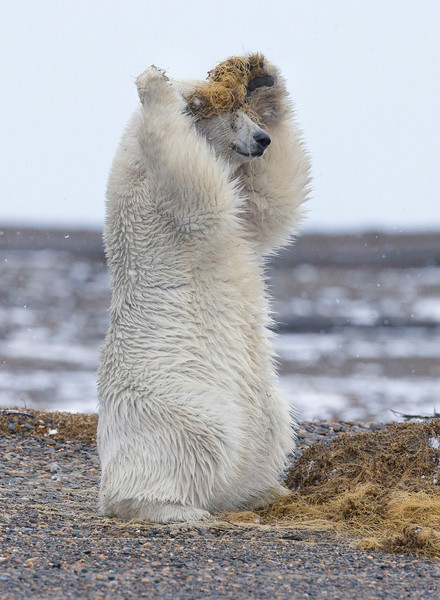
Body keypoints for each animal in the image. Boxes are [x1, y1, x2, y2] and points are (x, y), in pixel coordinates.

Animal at [97, 54, 310, 524]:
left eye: (247, 115)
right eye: (231, 118)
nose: (262, 139)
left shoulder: (244, 218)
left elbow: (269, 200)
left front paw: (262, 77)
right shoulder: (152, 197)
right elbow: (198, 189)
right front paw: (155, 84)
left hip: (267, 409)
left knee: (271, 430)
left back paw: (263, 491)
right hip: (173, 401)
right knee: (191, 440)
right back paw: (172, 508)